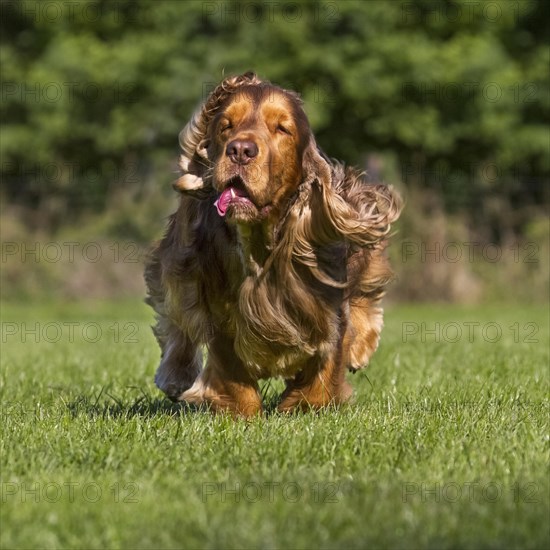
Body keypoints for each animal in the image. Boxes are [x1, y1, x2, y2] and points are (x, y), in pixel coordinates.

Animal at [144, 73, 404, 418]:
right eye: (226, 126)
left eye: (282, 128)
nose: (240, 150)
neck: (260, 242)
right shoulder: (220, 306)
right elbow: (229, 364)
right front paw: (242, 411)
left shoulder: (326, 302)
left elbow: (328, 358)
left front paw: (305, 405)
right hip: (182, 258)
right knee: (177, 321)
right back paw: (174, 376)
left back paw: (359, 349)